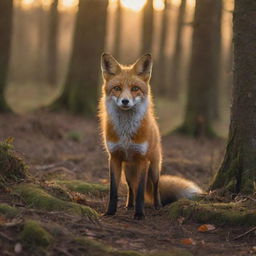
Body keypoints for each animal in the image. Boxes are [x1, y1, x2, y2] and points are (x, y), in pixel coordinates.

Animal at [98, 52, 202, 220]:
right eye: (117, 88)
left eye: (135, 88)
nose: (125, 101)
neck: (126, 133)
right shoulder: (114, 158)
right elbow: (113, 190)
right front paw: (110, 212)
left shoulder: (142, 160)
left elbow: (141, 191)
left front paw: (139, 214)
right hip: (128, 171)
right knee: (130, 188)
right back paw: (129, 204)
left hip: (153, 168)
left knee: (155, 187)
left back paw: (157, 205)